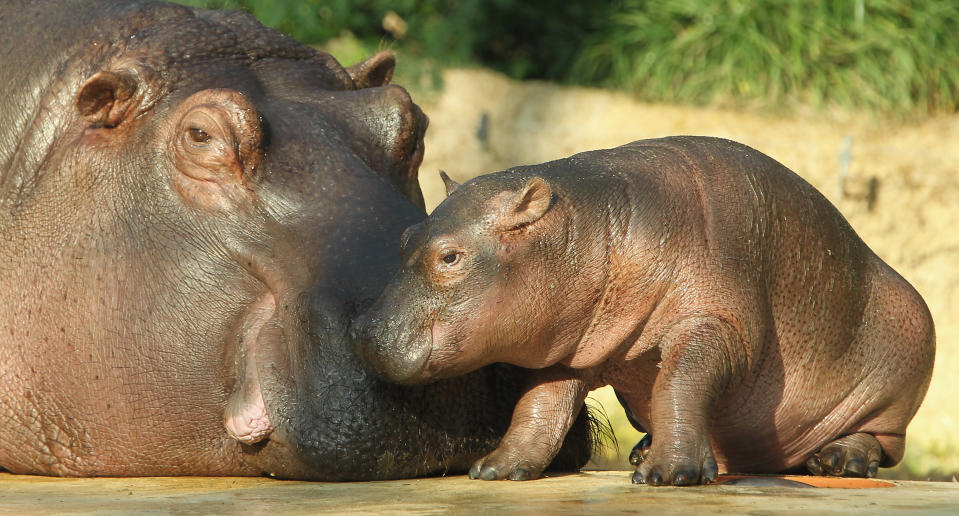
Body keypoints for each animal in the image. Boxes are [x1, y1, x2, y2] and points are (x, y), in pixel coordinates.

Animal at [350, 136, 928, 484]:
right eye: (405, 235)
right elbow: (539, 406)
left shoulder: (717, 324)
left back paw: (839, 460)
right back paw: (642, 449)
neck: (595, 229)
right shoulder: (571, 350)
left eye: (450, 256)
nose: (362, 331)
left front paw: (668, 475)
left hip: (903, 362)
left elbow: (680, 382)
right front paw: (494, 469)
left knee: (883, 440)